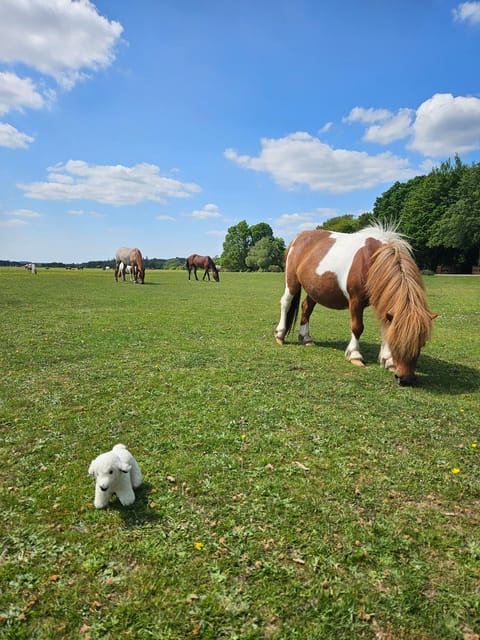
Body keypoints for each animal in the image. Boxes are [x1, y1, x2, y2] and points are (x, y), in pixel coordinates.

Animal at [274, 224, 436, 386]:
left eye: (422, 343)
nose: (406, 379)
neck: (372, 259)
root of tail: (298, 238)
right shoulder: (355, 300)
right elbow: (357, 327)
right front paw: (355, 355)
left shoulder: (381, 301)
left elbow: (385, 328)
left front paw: (388, 361)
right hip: (292, 282)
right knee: (286, 303)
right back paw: (280, 335)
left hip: (314, 289)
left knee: (306, 308)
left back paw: (306, 338)